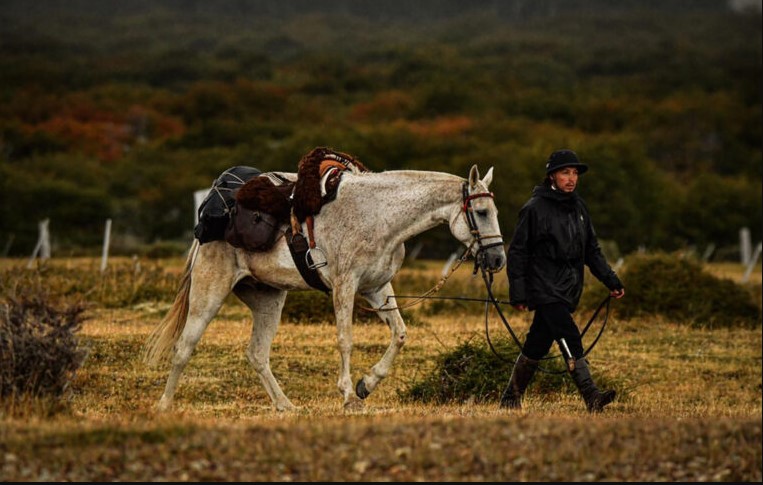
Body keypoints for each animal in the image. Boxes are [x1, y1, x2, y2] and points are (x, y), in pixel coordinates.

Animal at [143, 165, 506, 411]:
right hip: (209, 294)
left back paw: (285, 406)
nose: (498, 259)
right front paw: (347, 394)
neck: (378, 216)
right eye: (481, 212)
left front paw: (366, 385)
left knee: (257, 354)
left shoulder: (377, 288)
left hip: (268, 299)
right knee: (184, 347)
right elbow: (345, 340)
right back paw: (164, 405)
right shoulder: (345, 285)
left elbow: (400, 333)